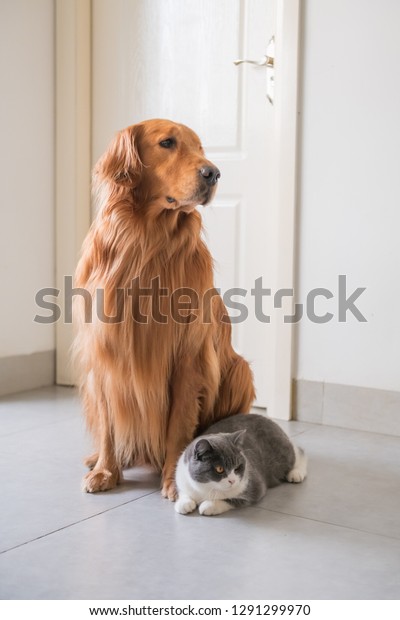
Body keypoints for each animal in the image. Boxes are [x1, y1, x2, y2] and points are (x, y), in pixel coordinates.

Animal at [74, 120, 255, 498]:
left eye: (200, 147)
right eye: (167, 143)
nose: (214, 173)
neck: (146, 240)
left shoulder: (187, 358)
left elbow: (178, 427)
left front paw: (176, 480)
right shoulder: (104, 353)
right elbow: (109, 425)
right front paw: (105, 470)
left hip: (240, 370)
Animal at [174, 414, 306, 516]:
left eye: (238, 467)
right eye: (219, 469)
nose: (232, 481)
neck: (206, 488)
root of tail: (269, 420)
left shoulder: (255, 486)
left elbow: (230, 499)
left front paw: (208, 505)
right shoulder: (182, 477)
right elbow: (183, 492)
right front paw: (184, 503)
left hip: (283, 453)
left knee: (299, 452)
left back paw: (296, 474)